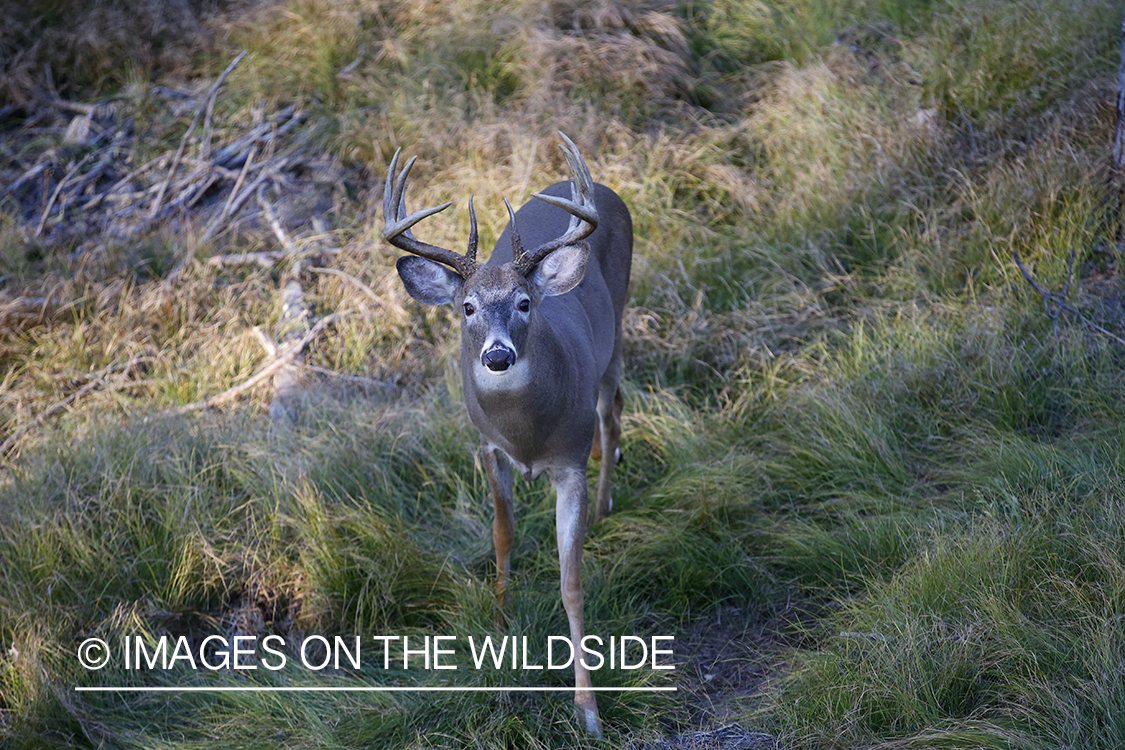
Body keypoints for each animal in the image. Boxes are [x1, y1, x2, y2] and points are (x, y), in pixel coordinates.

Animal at [380, 133, 630, 733]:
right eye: (467, 306)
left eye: (523, 302)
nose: (497, 355)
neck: (527, 436)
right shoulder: (488, 447)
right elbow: (502, 537)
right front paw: (499, 629)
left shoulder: (568, 465)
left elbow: (571, 581)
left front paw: (588, 710)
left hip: (617, 331)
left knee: (612, 412)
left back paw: (606, 501)